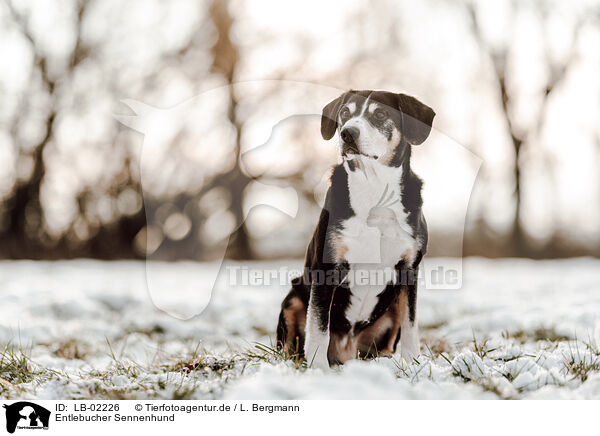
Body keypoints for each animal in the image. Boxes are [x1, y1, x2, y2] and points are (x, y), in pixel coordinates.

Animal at [276, 88, 436, 368]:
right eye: (345, 112)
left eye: (380, 113)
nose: (347, 133)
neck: (374, 190)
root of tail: (347, 353)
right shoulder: (326, 268)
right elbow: (318, 328)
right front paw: (317, 369)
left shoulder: (409, 269)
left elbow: (411, 324)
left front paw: (412, 363)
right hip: (293, 298)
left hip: (390, 311)